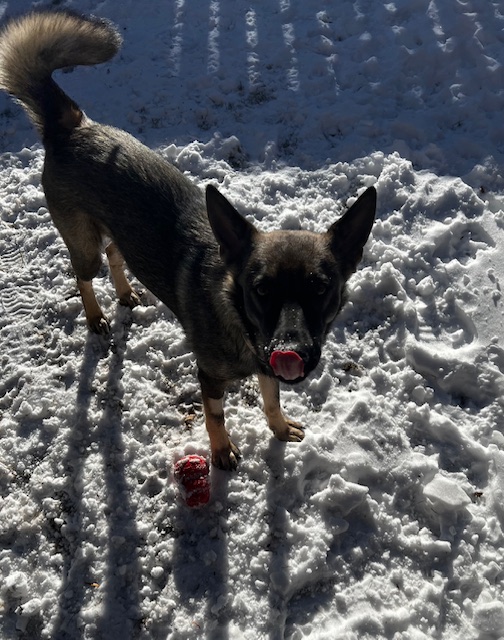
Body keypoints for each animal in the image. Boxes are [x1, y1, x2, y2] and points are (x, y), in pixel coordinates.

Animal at [0, 11, 376, 470]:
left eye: (321, 288)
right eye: (261, 289)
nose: (292, 350)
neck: (238, 317)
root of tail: (70, 125)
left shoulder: (265, 365)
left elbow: (271, 398)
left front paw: (279, 427)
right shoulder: (210, 376)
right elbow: (215, 416)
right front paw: (222, 451)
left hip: (117, 233)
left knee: (115, 253)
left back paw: (125, 292)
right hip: (82, 240)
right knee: (84, 274)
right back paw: (96, 316)